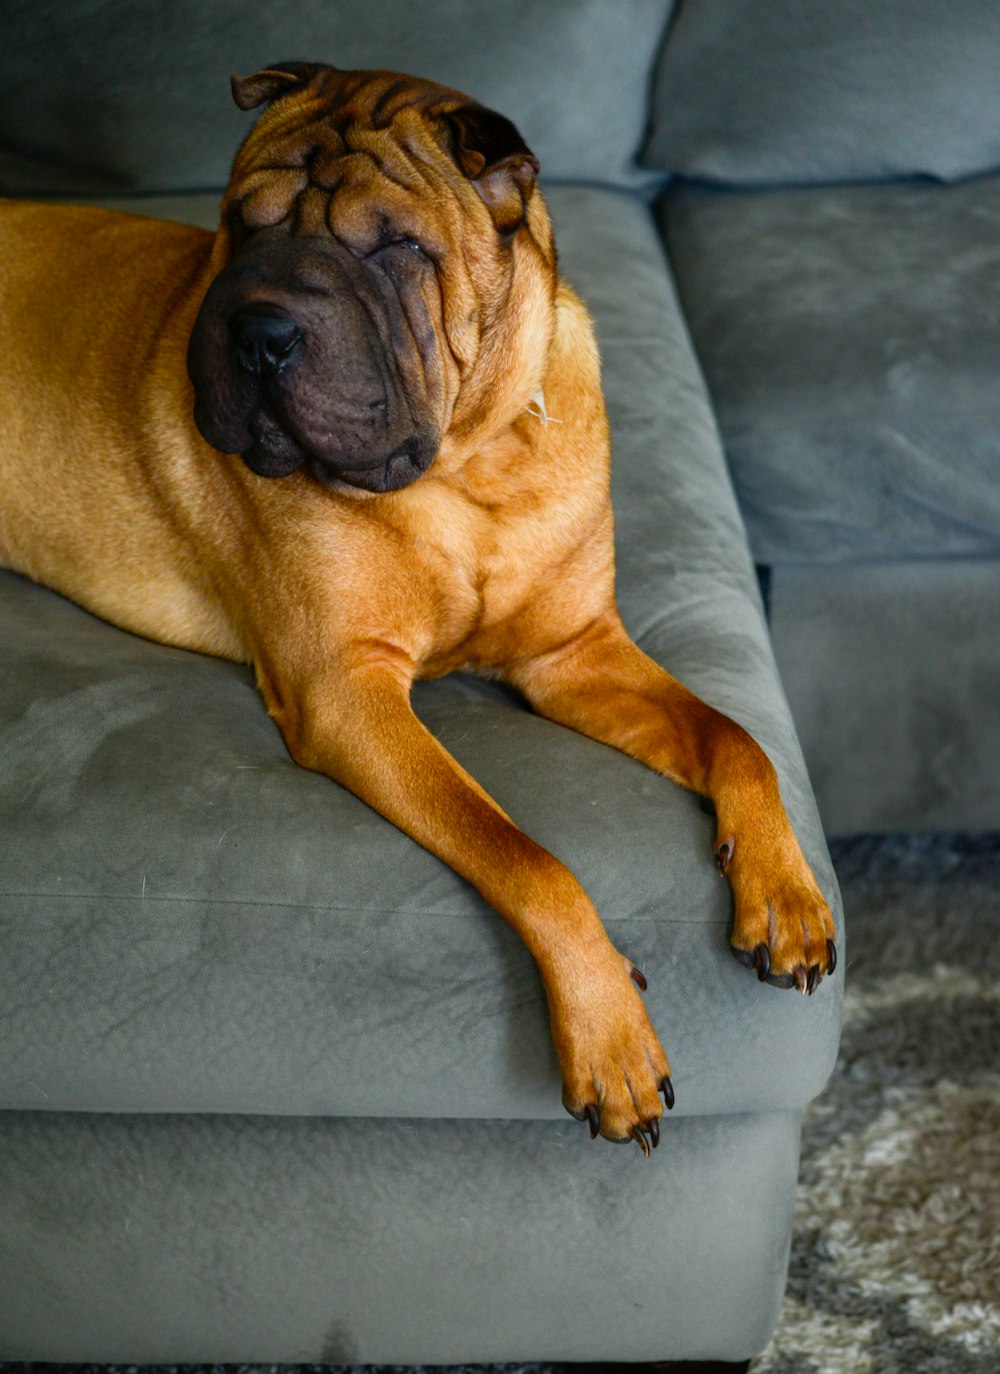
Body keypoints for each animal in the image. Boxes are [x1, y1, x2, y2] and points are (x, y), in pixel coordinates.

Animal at [0, 66, 835, 1159]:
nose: (259, 332)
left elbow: (736, 738)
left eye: (395, 247)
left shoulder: (574, 655)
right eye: (240, 224)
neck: (469, 463)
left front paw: (782, 893)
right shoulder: (347, 693)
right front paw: (608, 1030)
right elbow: (528, 856)